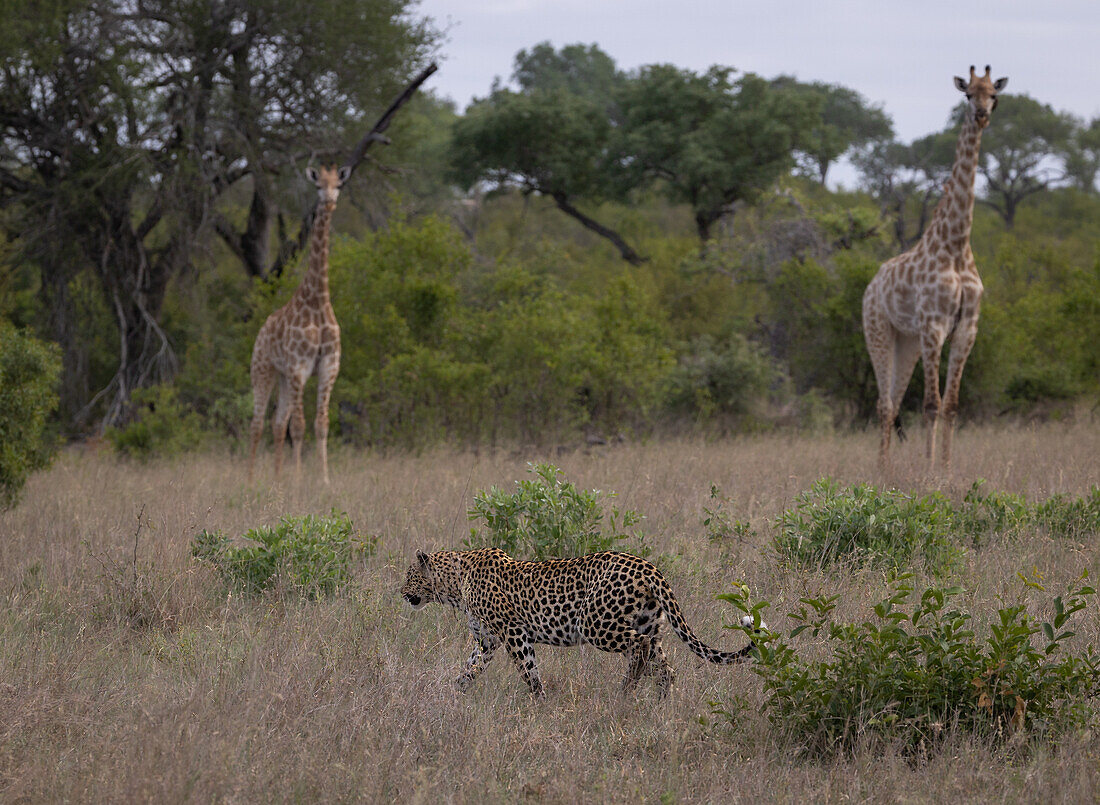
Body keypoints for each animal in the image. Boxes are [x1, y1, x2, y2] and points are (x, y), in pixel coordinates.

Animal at [250, 163, 349, 483]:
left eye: (338, 185)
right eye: (318, 186)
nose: (329, 202)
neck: (317, 301)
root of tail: (261, 331)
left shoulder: (329, 366)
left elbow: (321, 423)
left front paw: (324, 479)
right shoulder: (299, 367)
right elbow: (300, 425)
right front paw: (298, 478)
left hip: (281, 376)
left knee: (276, 421)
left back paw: (277, 477)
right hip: (263, 370)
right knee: (258, 423)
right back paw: (251, 479)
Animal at [398, 547, 765, 699]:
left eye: (409, 575)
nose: (401, 593)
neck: (453, 587)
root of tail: (648, 567)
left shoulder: (514, 632)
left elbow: (528, 671)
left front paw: (540, 702)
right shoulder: (487, 641)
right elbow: (469, 669)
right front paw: (453, 694)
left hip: (596, 624)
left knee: (640, 649)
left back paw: (625, 691)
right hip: (650, 623)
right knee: (665, 665)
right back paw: (659, 704)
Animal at [862, 65, 1007, 468]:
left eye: (993, 95)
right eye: (968, 94)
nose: (982, 115)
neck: (956, 246)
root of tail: (871, 285)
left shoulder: (966, 329)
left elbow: (952, 405)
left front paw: (945, 468)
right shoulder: (933, 326)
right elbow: (931, 404)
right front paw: (928, 471)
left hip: (906, 341)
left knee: (894, 403)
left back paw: (888, 470)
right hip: (878, 331)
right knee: (884, 404)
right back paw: (880, 470)